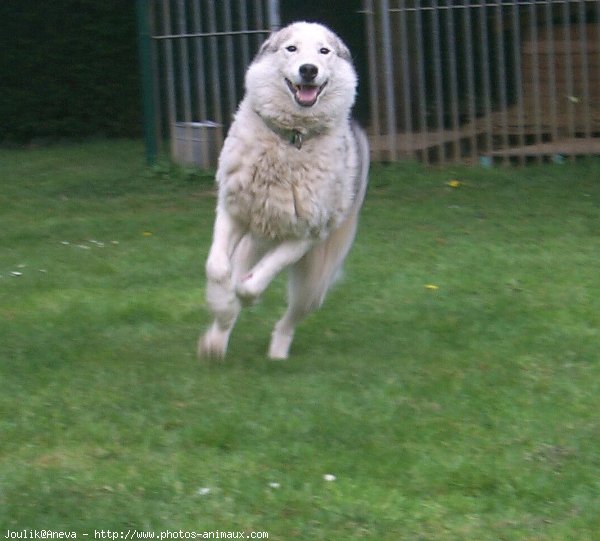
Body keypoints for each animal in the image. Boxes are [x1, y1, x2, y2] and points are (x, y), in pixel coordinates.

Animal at [199, 21, 368, 358]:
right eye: (291, 48)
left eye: (324, 51)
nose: (308, 69)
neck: (292, 138)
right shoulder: (231, 212)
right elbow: (217, 270)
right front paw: (221, 305)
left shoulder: (306, 236)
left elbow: (251, 284)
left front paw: (246, 295)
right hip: (252, 243)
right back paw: (216, 341)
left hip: (313, 284)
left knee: (288, 319)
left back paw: (277, 353)